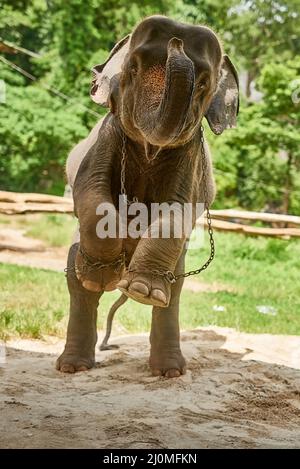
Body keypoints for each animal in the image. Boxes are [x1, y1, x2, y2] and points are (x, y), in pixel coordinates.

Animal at [56, 14, 239, 378]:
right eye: (133, 69)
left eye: (203, 83)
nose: (177, 41)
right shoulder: (107, 135)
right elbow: (91, 191)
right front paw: (101, 277)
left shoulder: (190, 155)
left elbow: (179, 210)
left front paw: (140, 290)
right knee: (77, 282)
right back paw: (73, 363)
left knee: (174, 291)